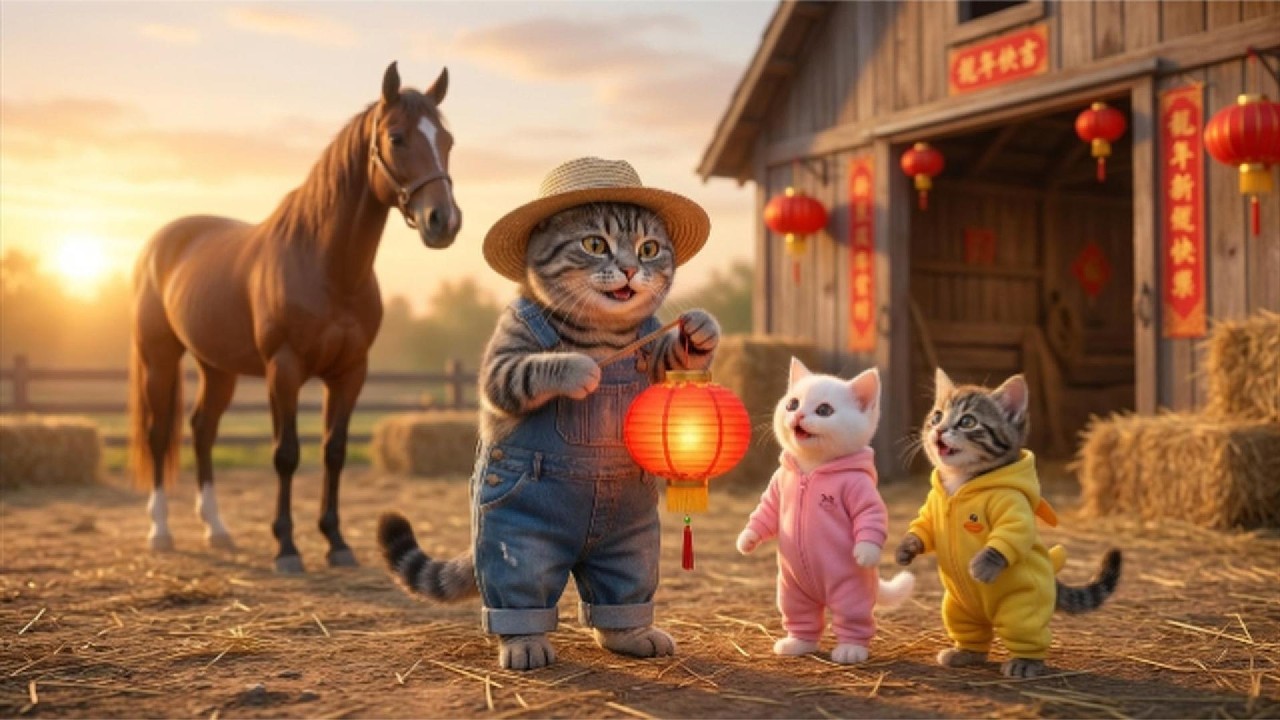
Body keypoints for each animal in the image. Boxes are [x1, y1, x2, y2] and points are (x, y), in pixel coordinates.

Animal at [128, 62, 460, 573]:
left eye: (447, 140)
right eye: (397, 137)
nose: (443, 221)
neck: (327, 267)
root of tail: (161, 242)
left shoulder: (349, 373)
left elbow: (334, 451)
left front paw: (337, 543)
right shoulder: (283, 370)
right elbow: (286, 454)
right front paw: (286, 547)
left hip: (217, 368)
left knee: (202, 431)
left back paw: (217, 530)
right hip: (159, 357)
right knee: (159, 433)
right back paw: (160, 531)